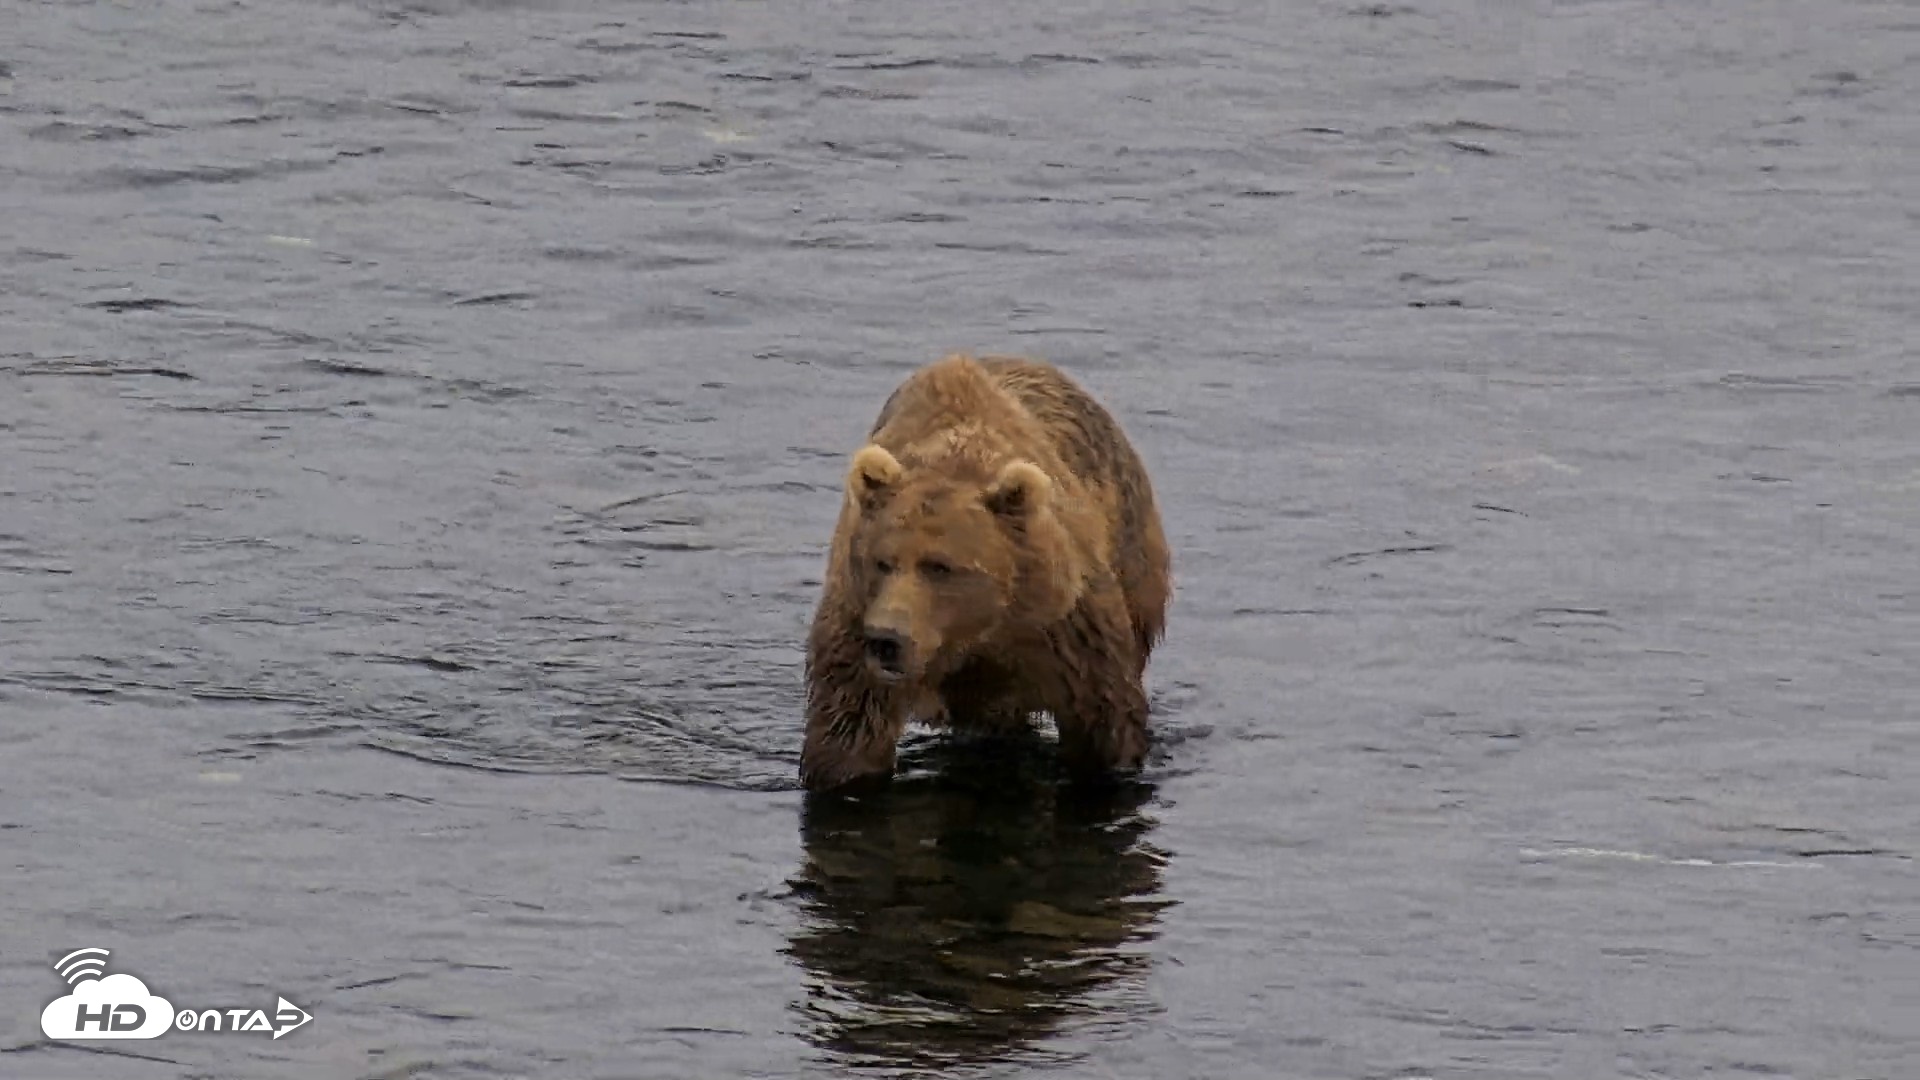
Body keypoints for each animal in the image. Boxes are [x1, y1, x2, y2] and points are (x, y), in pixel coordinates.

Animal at [799, 352, 1171, 792]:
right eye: (881, 562)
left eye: (940, 566)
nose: (886, 639)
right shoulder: (857, 622)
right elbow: (848, 732)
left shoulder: (1067, 625)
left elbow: (1104, 716)